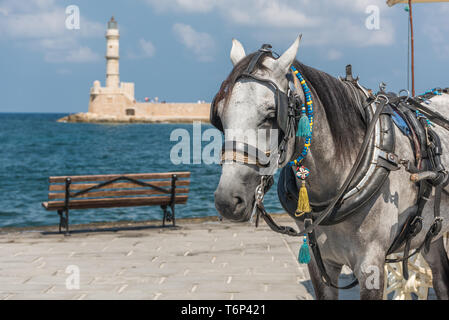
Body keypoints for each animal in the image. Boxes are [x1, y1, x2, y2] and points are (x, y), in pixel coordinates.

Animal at [210, 36, 448, 298]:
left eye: (271, 115)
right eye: (219, 116)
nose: (227, 201)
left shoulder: (372, 264)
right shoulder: (319, 261)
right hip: (431, 233)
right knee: (440, 277)